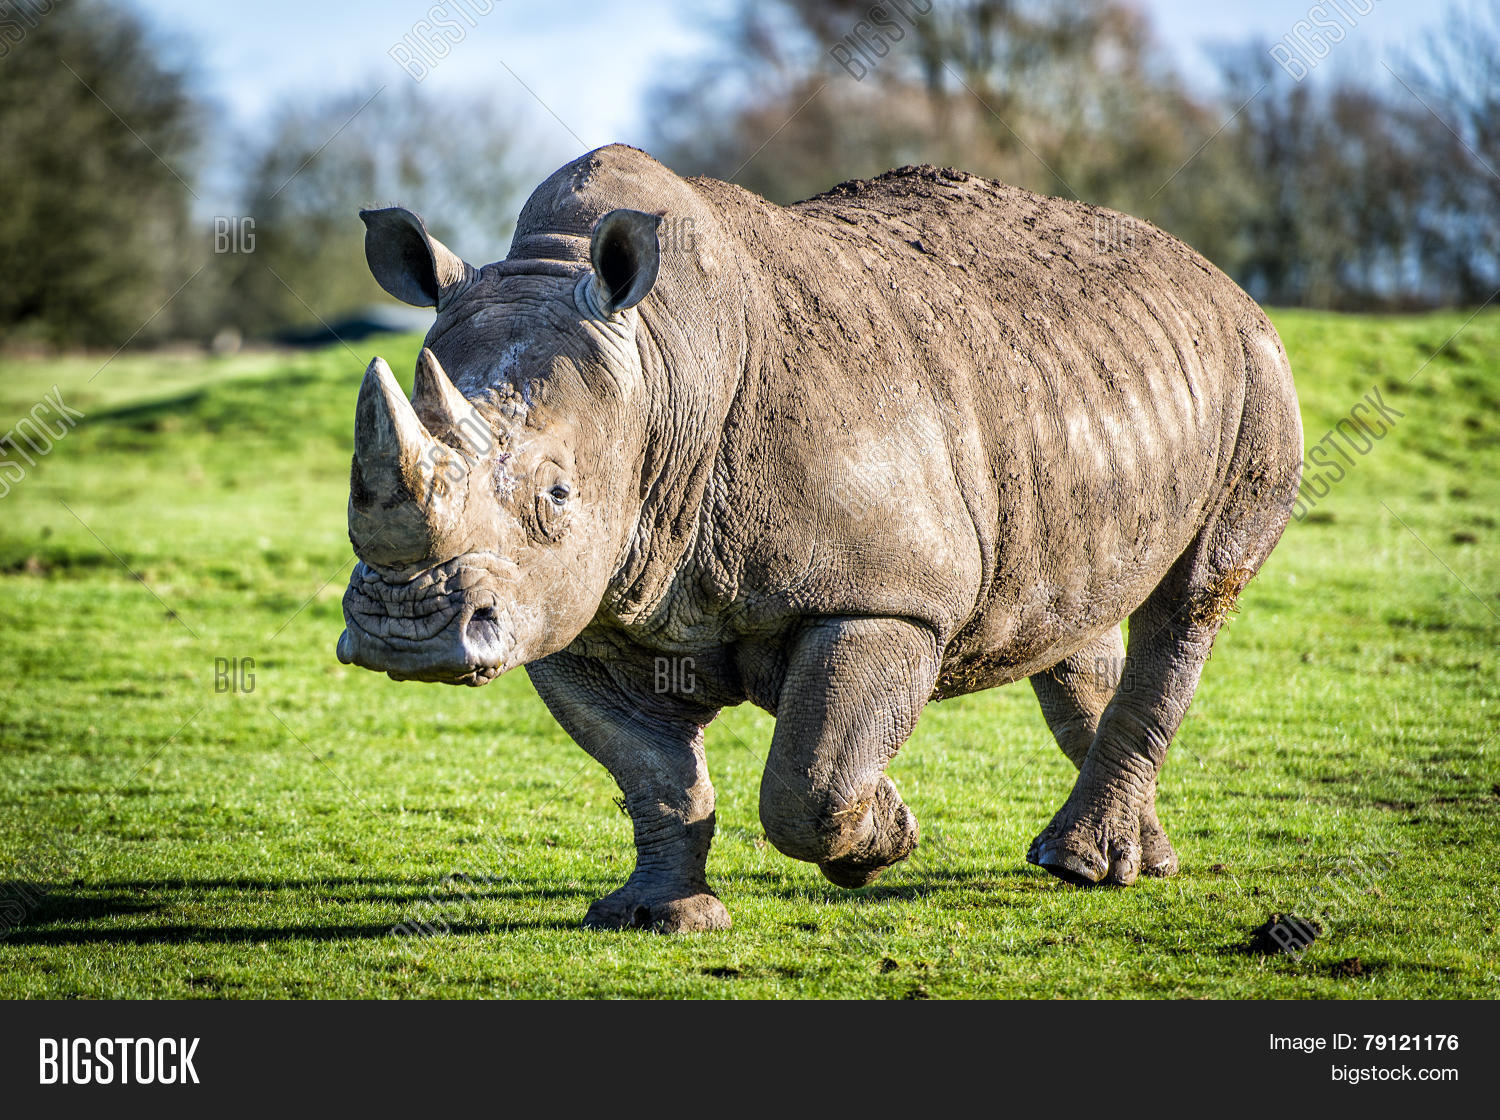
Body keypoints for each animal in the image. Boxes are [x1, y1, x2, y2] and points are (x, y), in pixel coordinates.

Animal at [336, 144, 1301, 932]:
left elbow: (812, 779)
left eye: (558, 495)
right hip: (1086, 389)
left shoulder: (885, 597)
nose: (406, 632)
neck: (659, 370)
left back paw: (1079, 864)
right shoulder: (577, 610)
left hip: (1258, 370)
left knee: (1192, 599)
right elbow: (654, 775)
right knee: (1075, 619)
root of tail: (1217, 278)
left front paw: (885, 837)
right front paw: (656, 918)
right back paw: (1134, 863)